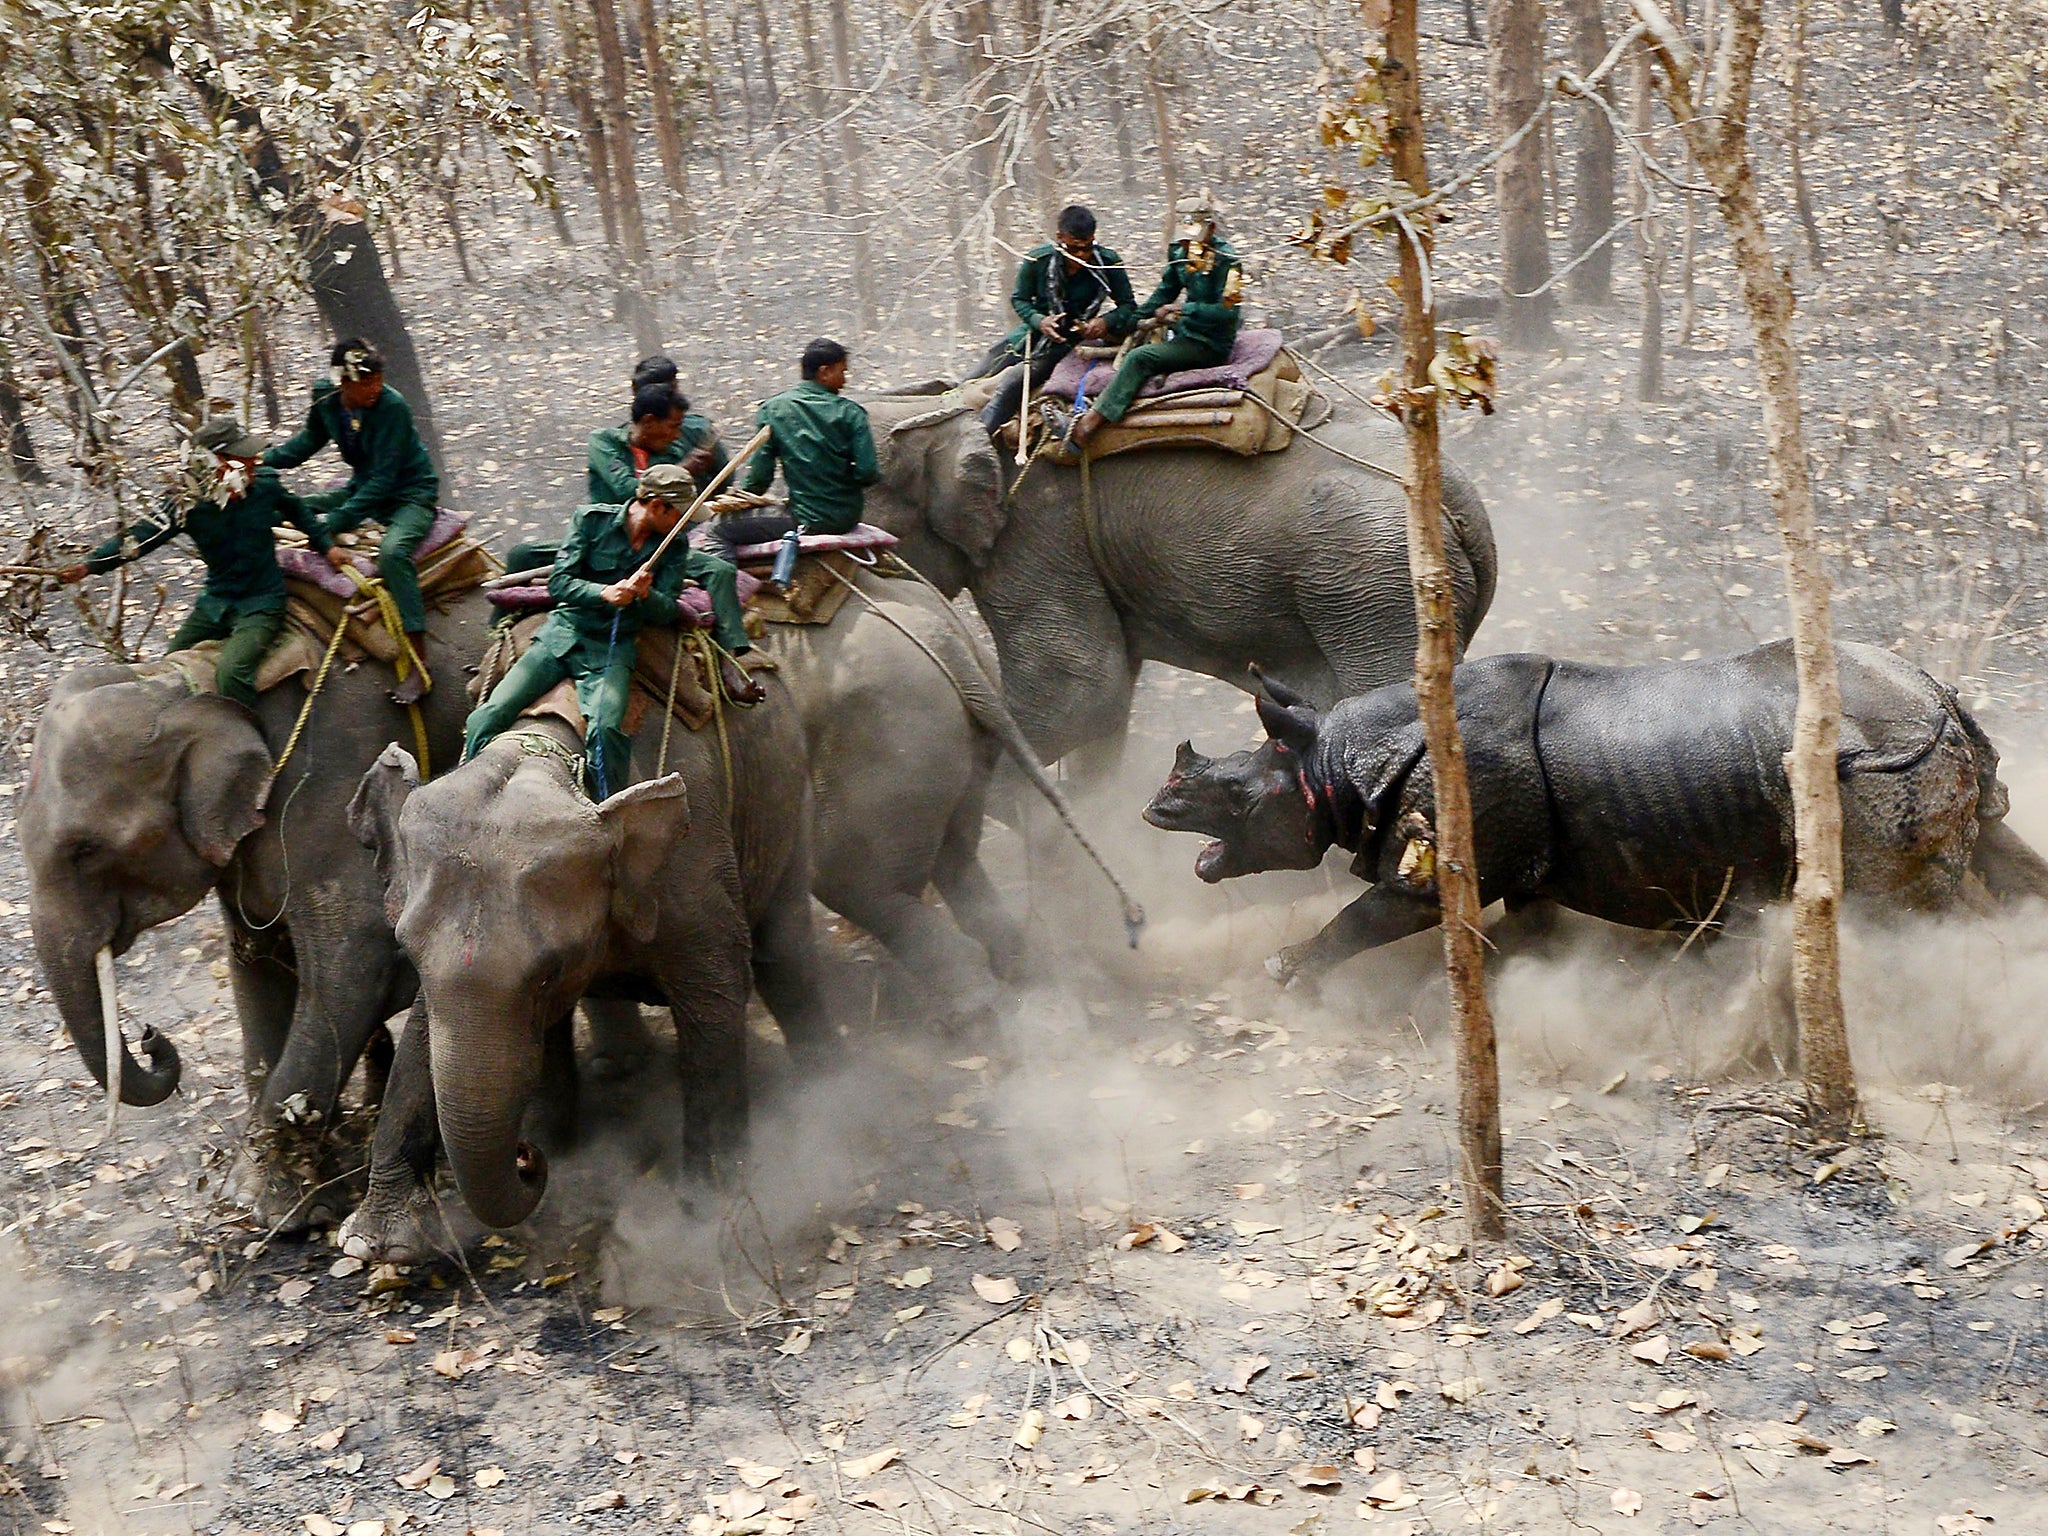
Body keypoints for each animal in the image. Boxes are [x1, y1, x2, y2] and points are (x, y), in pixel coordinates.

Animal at [20, 593, 491, 1220]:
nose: (151, 1036)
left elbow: (359, 959)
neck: (186, 683)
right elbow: (258, 964)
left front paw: (259, 1208)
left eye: (85, 850)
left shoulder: (333, 783)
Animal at [339, 663, 827, 1253]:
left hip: (786, 794)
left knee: (785, 953)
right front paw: (374, 1243)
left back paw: (829, 1083)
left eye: (549, 973)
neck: (545, 751)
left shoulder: (691, 866)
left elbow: (717, 991)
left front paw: (708, 1216)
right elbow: (423, 1029)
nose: (527, 1158)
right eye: (407, 952)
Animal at [1138, 643, 2048, 1015]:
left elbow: (1369, 917)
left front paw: (1283, 973)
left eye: (1240, 799)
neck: (1333, 761)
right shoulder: (1527, 866)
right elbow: (1531, 935)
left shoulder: (1441, 861)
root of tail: (1938, 696)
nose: (1155, 810)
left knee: (1887, 919)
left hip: (1877, 767)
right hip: (1926, 750)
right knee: (2002, 858)